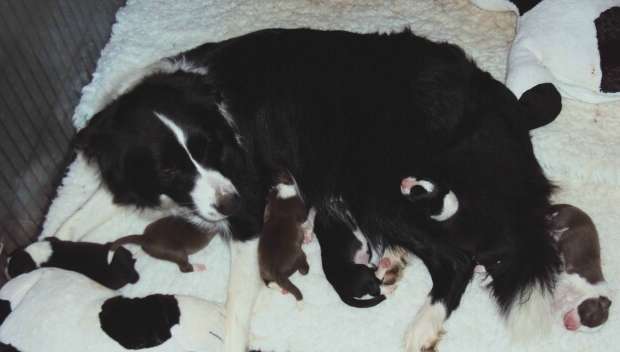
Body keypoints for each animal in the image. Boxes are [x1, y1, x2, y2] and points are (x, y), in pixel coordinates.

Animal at [258, 172, 314, 310]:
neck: (279, 192)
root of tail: (276, 271)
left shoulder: (268, 208)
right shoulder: (302, 216)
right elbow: (307, 223)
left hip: (264, 273)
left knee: (269, 283)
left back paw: (282, 289)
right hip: (299, 256)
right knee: (303, 270)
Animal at [548, 204, 612, 332]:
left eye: (583, 328)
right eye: (585, 318)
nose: (569, 327)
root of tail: (573, 207)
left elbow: (561, 300)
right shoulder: (567, 279)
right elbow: (558, 295)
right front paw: (553, 307)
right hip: (563, 220)